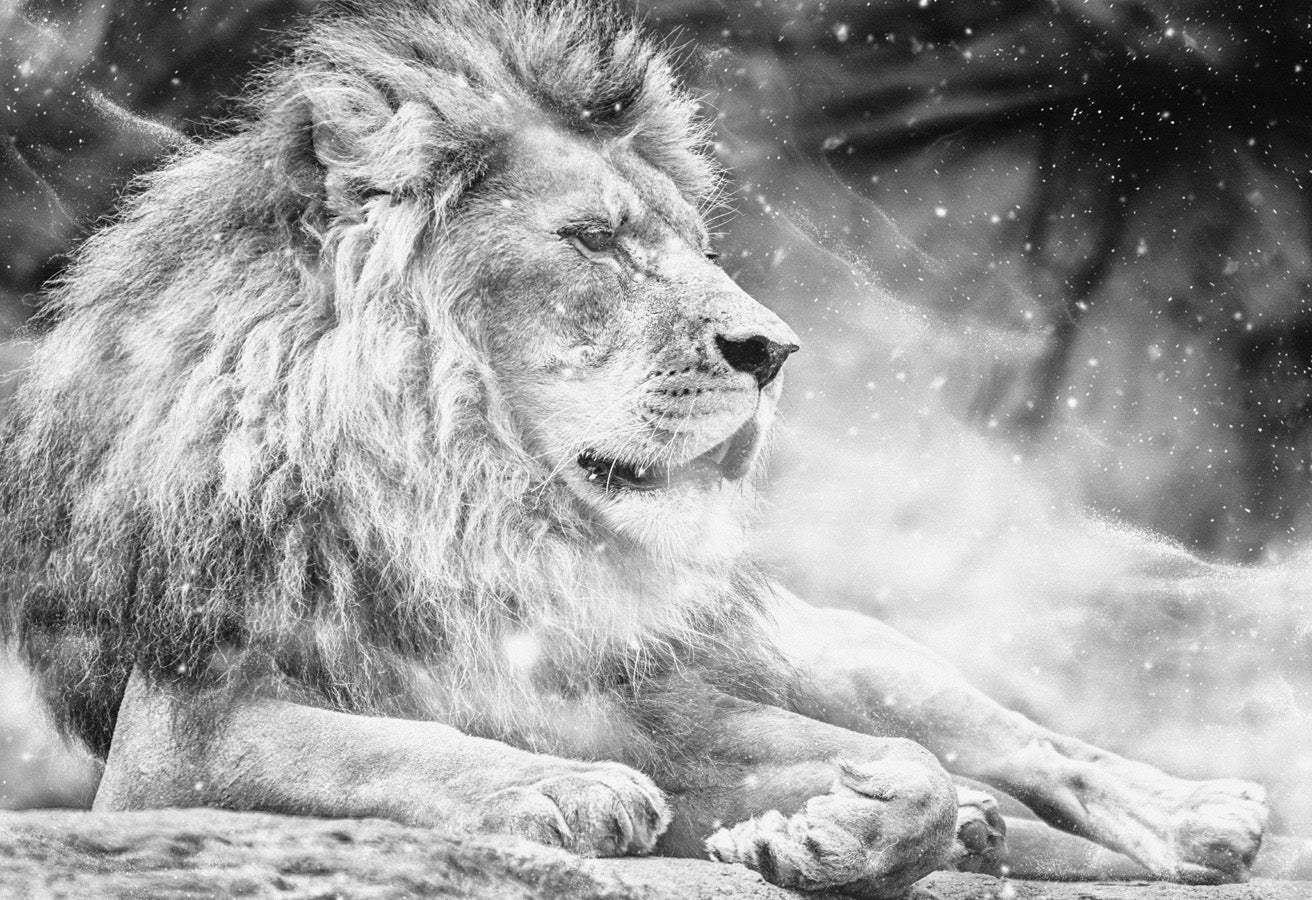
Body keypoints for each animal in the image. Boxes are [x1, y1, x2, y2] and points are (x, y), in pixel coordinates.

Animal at [0, 1, 1269, 896]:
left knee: (1023, 746)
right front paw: (566, 792)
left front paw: (839, 832)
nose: (773, 349)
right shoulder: (174, 739)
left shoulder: (665, 709)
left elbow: (918, 768)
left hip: (834, 647)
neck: (463, 511)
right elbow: (372, 748)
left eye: (697, 246)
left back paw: (1199, 816)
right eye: (594, 241)